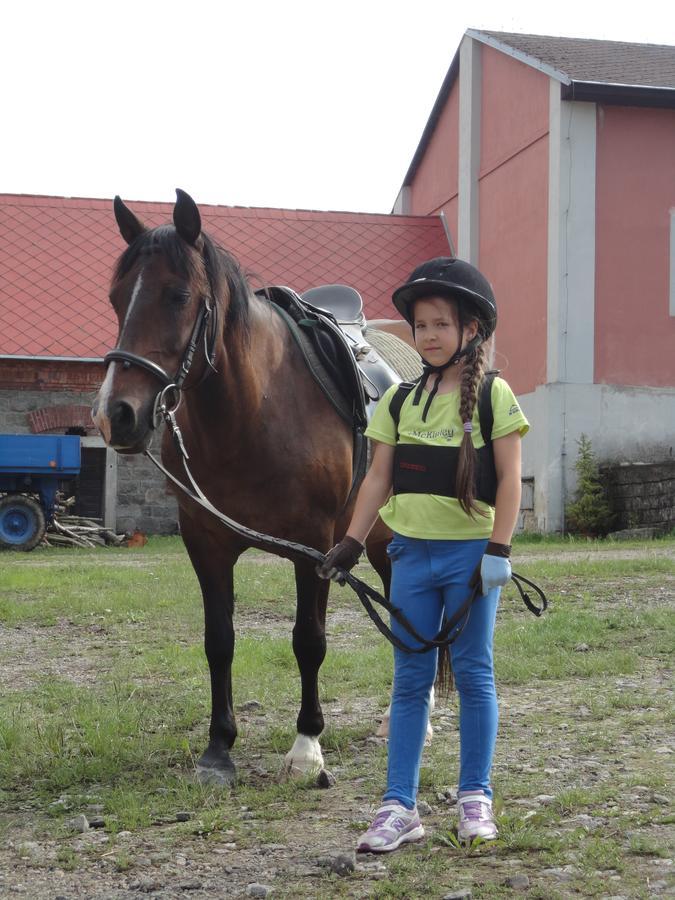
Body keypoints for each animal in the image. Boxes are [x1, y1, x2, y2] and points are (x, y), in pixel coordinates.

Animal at [92, 192, 396, 788]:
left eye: (178, 295)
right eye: (116, 299)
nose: (117, 415)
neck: (256, 412)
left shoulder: (316, 547)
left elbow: (309, 640)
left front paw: (306, 748)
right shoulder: (206, 541)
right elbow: (219, 641)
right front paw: (218, 748)